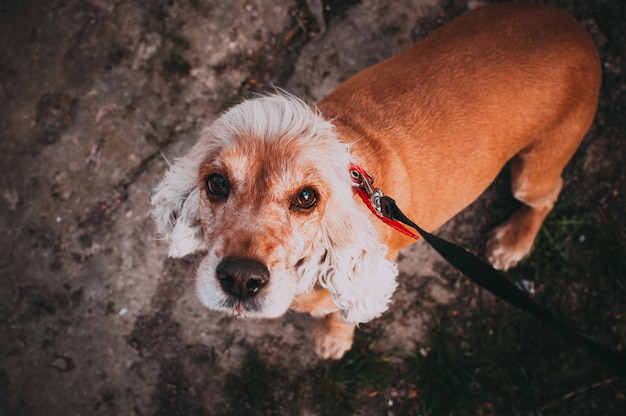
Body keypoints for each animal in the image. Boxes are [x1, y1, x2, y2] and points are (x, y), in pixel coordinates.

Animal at [151, 2, 600, 358]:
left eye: (307, 197)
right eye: (216, 184)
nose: (241, 280)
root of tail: (575, 28)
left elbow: (340, 313)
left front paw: (332, 340)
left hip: (534, 171)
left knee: (548, 194)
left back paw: (512, 241)